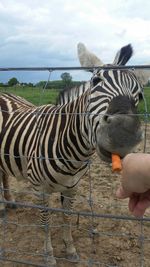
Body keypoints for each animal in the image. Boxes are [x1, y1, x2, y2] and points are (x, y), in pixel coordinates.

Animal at [0, 43, 146, 266]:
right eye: (95, 81)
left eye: (139, 94)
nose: (123, 133)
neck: (73, 153)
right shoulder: (40, 188)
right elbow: (46, 220)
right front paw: (48, 255)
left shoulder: (72, 187)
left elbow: (67, 217)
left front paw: (70, 249)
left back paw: (9, 201)